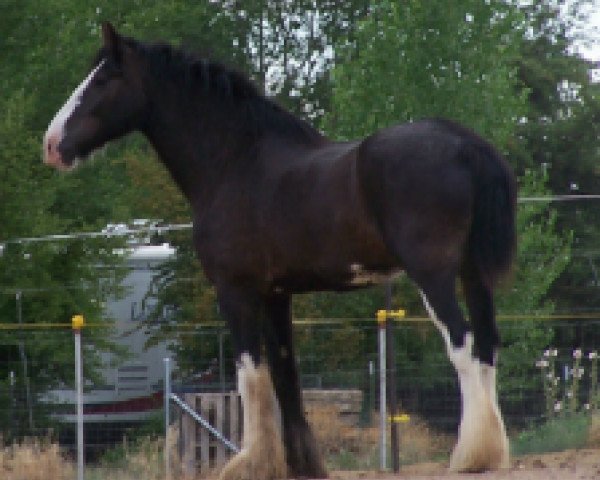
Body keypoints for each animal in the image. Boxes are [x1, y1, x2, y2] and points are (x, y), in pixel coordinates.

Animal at [45, 21, 516, 476]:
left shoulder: (236, 291)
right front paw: (303, 465)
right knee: (486, 343)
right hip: (473, 274)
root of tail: (466, 144)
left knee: (463, 343)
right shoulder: (276, 295)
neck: (236, 162)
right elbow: (286, 376)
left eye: (103, 79)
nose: (52, 145)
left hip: (433, 275)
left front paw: (252, 463)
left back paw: (470, 455)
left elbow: (251, 376)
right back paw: (492, 451)